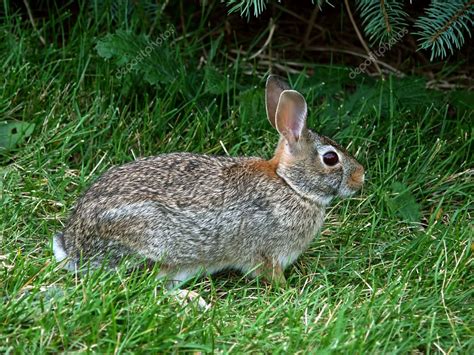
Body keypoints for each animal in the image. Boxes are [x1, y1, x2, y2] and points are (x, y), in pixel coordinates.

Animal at [52, 76, 362, 290]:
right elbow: (270, 274)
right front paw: (290, 291)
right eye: (331, 158)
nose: (361, 177)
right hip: (154, 245)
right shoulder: (266, 254)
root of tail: (73, 248)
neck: (290, 185)